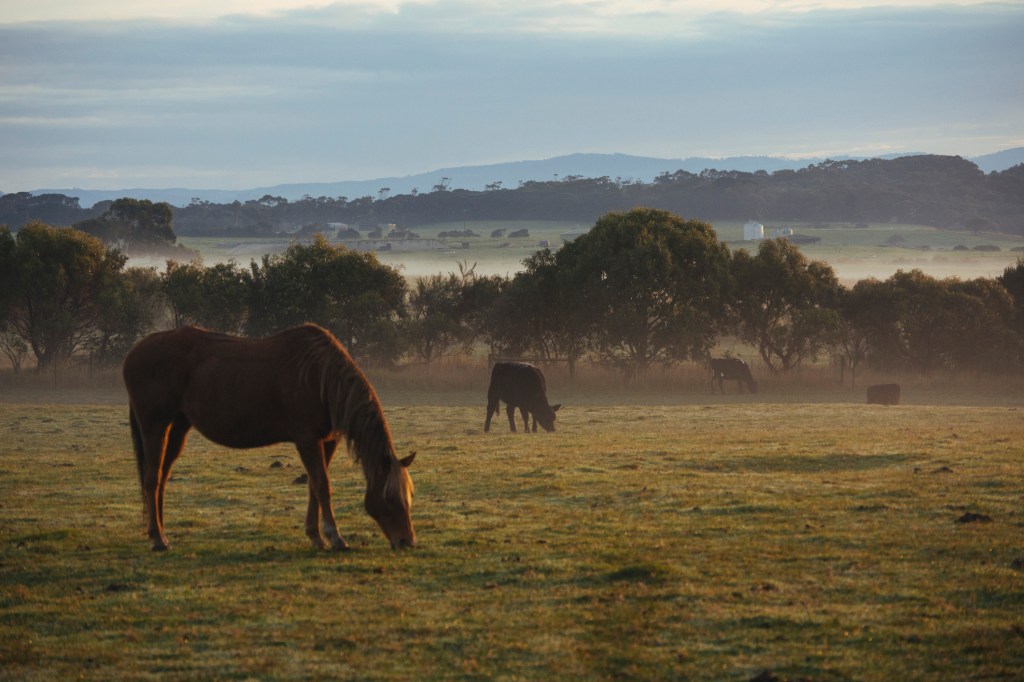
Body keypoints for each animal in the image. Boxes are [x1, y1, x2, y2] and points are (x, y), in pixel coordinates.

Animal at [122, 321, 415, 548]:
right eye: (390, 497)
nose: (407, 542)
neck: (320, 377)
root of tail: (133, 353)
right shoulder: (307, 439)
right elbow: (322, 485)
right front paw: (335, 537)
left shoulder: (327, 440)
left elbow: (314, 485)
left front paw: (315, 535)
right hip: (155, 424)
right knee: (151, 478)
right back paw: (158, 539)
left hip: (179, 425)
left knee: (162, 475)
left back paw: (159, 532)